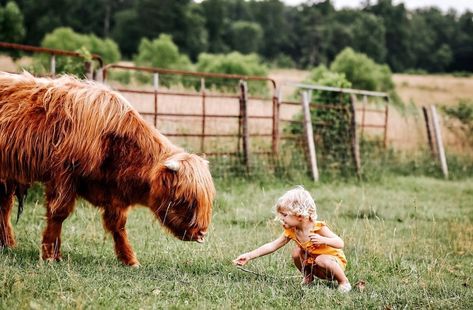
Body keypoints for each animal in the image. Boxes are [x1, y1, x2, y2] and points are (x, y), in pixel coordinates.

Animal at [0, 71, 214, 266]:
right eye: (184, 200)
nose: (201, 233)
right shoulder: (63, 175)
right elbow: (58, 214)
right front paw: (49, 255)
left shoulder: (113, 193)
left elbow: (117, 225)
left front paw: (129, 259)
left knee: (4, 205)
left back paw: (7, 244)